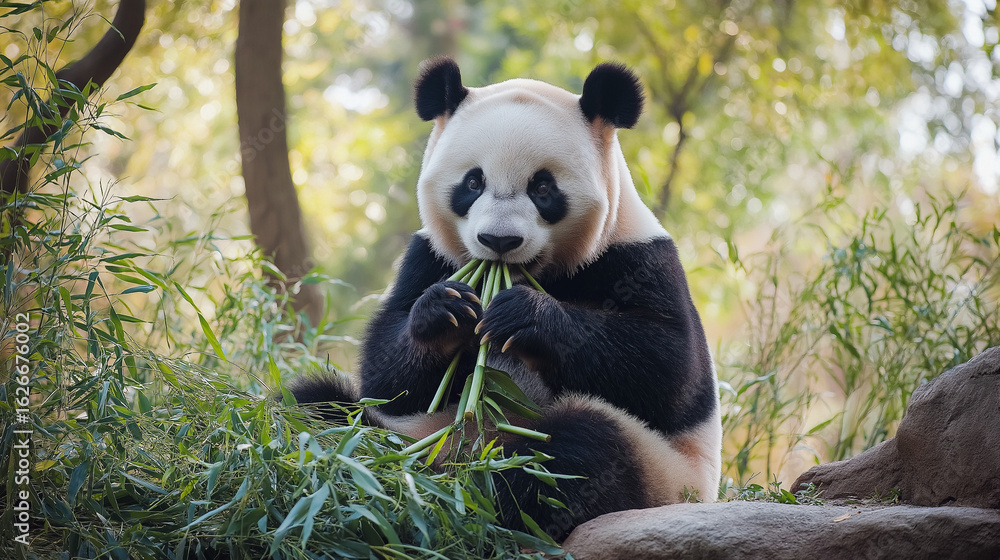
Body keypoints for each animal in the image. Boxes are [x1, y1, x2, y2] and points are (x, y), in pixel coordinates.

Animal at [291, 57, 721, 541]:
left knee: (579, 452)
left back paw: (479, 508)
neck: (527, 274)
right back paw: (383, 480)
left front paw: (525, 316)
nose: (498, 241)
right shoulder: (428, 256)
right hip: (410, 433)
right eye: (473, 181)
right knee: (319, 411)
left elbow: (670, 370)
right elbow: (386, 380)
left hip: (663, 471)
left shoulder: (639, 257)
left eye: (543, 187)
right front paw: (445, 312)